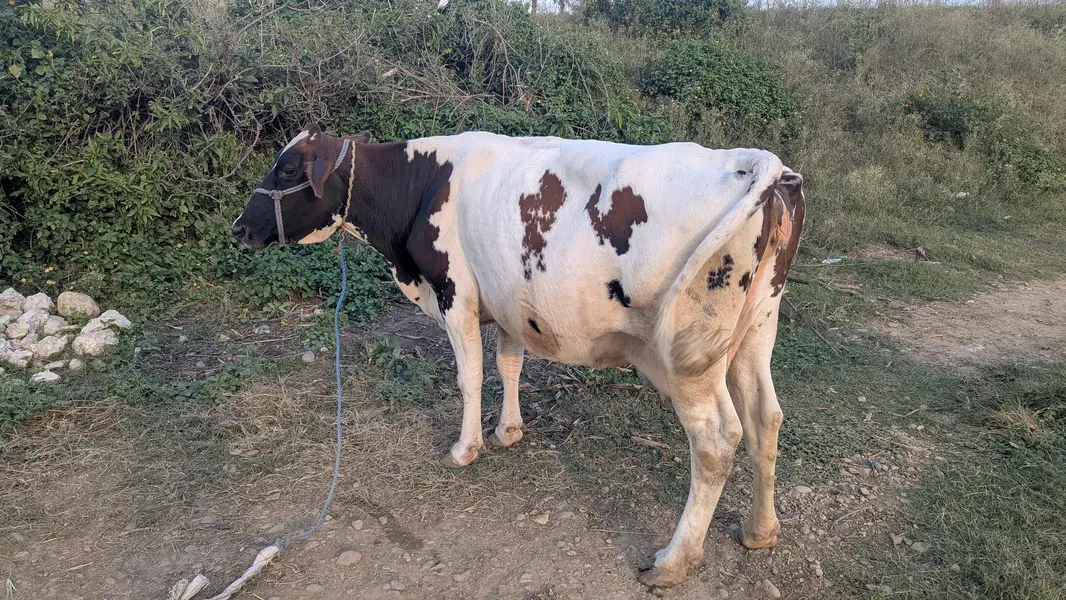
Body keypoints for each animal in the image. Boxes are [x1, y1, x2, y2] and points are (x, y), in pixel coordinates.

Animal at [231, 126, 805, 587]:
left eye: (287, 168)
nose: (238, 228)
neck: (420, 186)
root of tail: (760, 165)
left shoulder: (455, 292)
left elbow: (469, 377)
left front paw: (465, 449)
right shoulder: (509, 301)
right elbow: (509, 365)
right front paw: (508, 431)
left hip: (692, 355)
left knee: (717, 440)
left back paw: (673, 561)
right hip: (758, 326)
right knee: (766, 417)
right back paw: (760, 530)